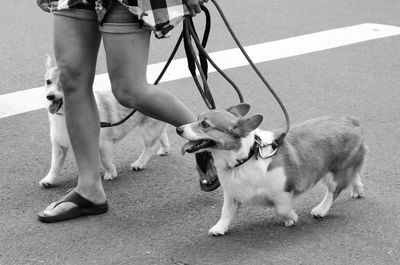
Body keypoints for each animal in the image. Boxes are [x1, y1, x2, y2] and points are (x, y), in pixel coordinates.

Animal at [41, 55, 170, 188]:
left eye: (62, 83)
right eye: (48, 82)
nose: (50, 96)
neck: (64, 115)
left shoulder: (103, 143)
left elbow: (105, 160)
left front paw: (110, 173)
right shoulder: (59, 146)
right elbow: (55, 165)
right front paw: (49, 180)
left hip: (147, 130)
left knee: (149, 147)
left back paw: (139, 163)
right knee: (162, 135)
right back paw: (165, 149)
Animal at [177, 102, 368, 234]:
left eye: (205, 124)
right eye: (196, 118)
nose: (178, 129)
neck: (244, 159)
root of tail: (351, 121)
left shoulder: (282, 191)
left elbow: (281, 209)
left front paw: (292, 218)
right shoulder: (231, 194)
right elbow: (226, 212)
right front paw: (219, 228)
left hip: (334, 173)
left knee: (333, 192)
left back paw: (321, 209)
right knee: (354, 173)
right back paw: (357, 188)